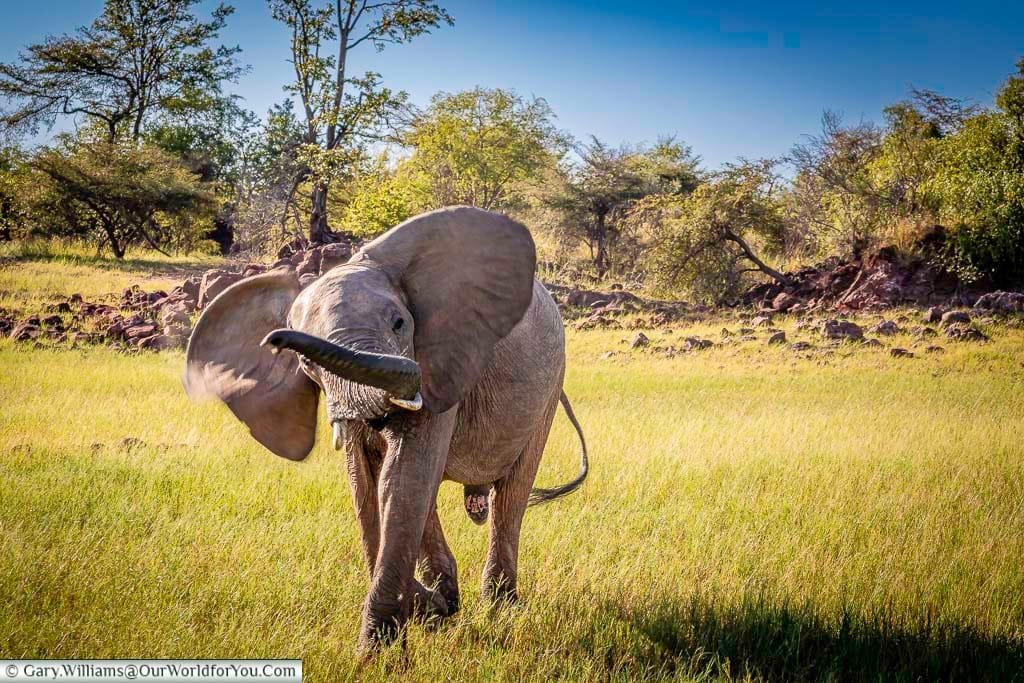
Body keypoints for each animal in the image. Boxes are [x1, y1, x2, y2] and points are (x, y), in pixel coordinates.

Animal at [182, 204, 585, 651]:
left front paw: (377, 651)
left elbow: (402, 476)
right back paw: (447, 595)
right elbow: (366, 481)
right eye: (306, 364)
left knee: (512, 493)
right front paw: (430, 611)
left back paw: (500, 607)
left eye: (398, 324)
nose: (274, 340)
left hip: (551, 382)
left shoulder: (441, 360)